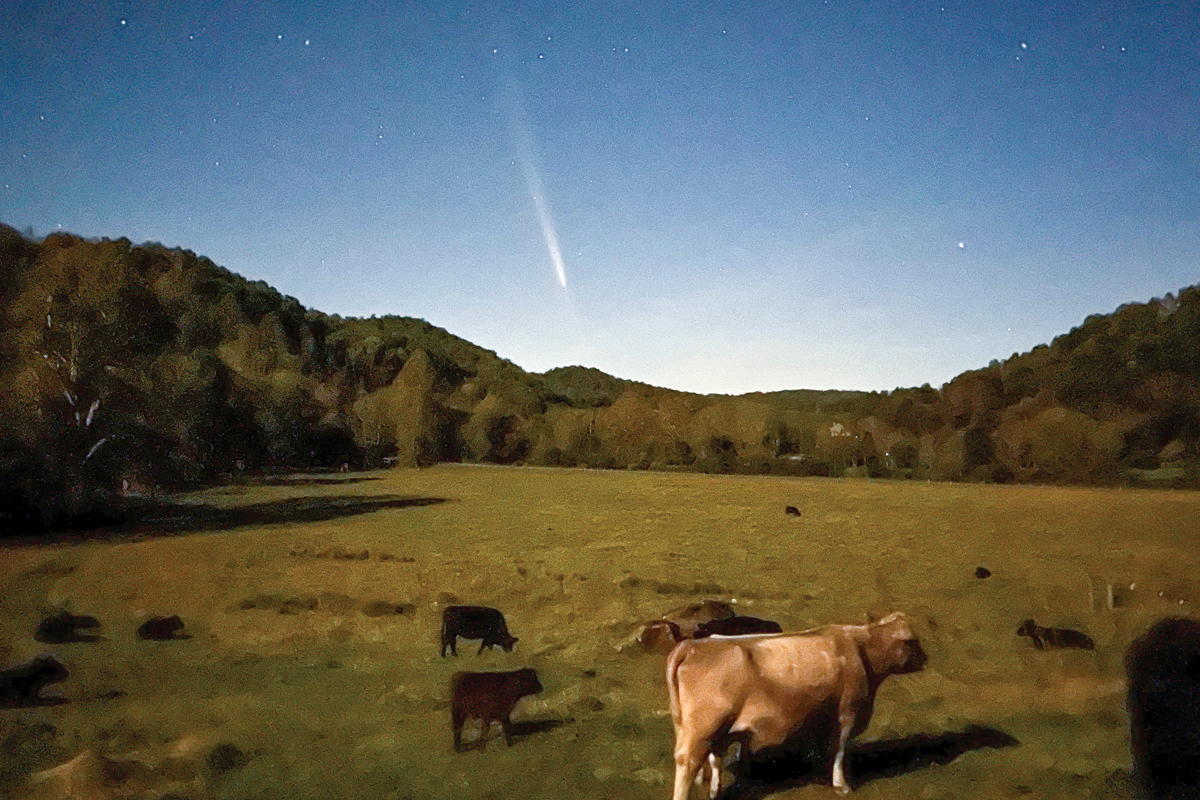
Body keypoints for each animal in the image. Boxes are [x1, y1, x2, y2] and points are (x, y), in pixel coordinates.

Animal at [667, 614, 926, 796]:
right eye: (914, 642)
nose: (926, 658)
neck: (859, 648)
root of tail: (691, 646)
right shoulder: (848, 712)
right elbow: (840, 749)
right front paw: (840, 784)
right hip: (703, 728)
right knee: (687, 763)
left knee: (710, 757)